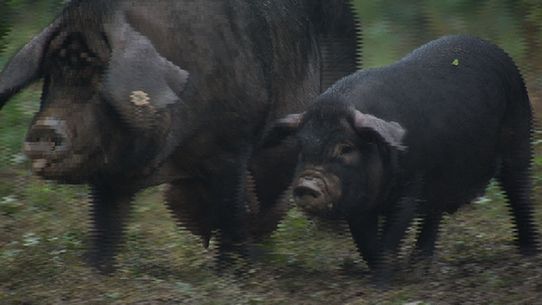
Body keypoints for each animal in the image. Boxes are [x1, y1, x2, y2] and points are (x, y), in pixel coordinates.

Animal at [0, 0, 362, 270]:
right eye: (53, 72)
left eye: (100, 75)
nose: (45, 127)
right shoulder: (110, 173)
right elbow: (106, 221)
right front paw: (97, 268)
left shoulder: (231, 148)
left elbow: (230, 208)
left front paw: (237, 271)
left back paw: (330, 241)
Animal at [264, 35, 540, 274]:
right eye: (302, 147)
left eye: (346, 148)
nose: (306, 184)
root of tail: (499, 52)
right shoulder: (360, 205)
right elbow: (367, 243)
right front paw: (389, 270)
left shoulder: (411, 185)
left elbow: (392, 233)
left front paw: (383, 281)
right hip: (441, 178)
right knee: (434, 215)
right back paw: (419, 266)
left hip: (519, 137)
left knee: (520, 193)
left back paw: (527, 255)